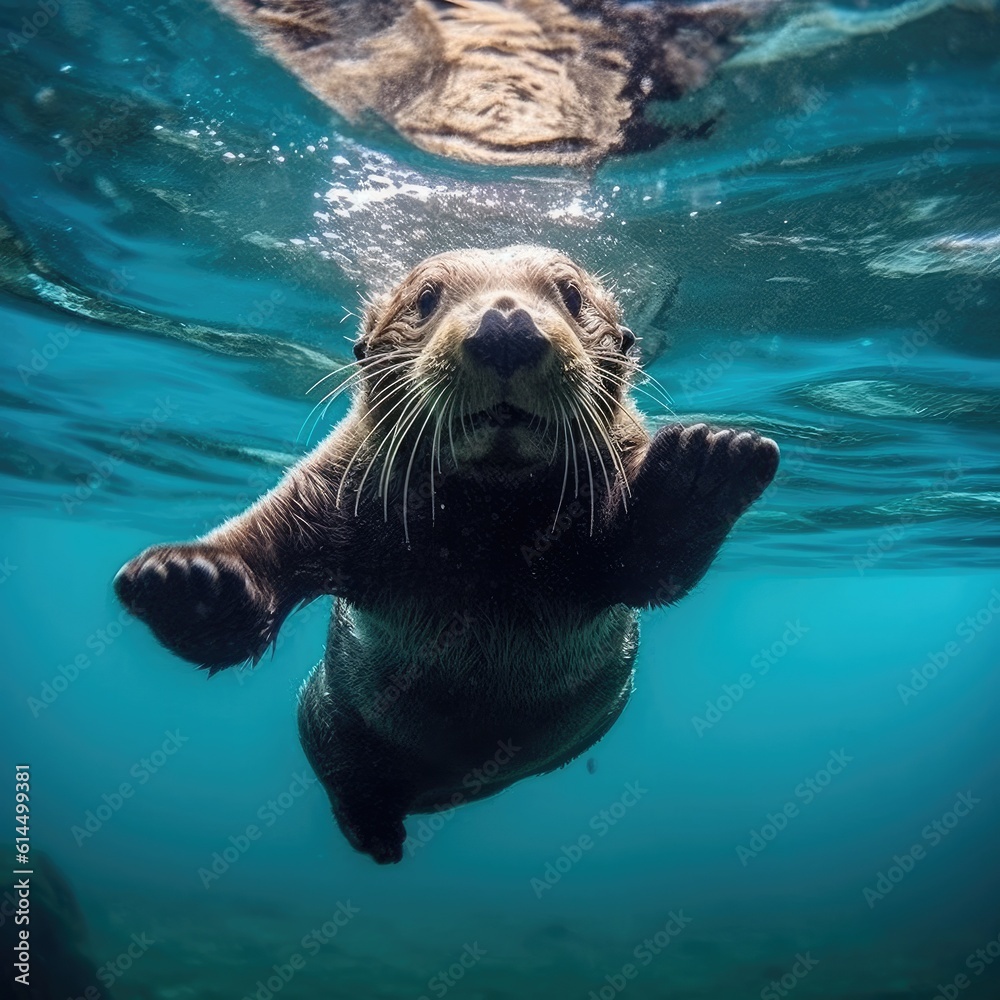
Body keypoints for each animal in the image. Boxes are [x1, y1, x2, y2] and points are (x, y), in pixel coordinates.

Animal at [113, 246, 776, 864]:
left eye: (571, 295)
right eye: (427, 298)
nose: (506, 326)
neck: (488, 540)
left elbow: (649, 565)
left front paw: (708, 465)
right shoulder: (335, 482)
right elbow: (267, 551)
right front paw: (186, 581)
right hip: (320, 716)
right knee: (348, 783)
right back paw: (376, 832)